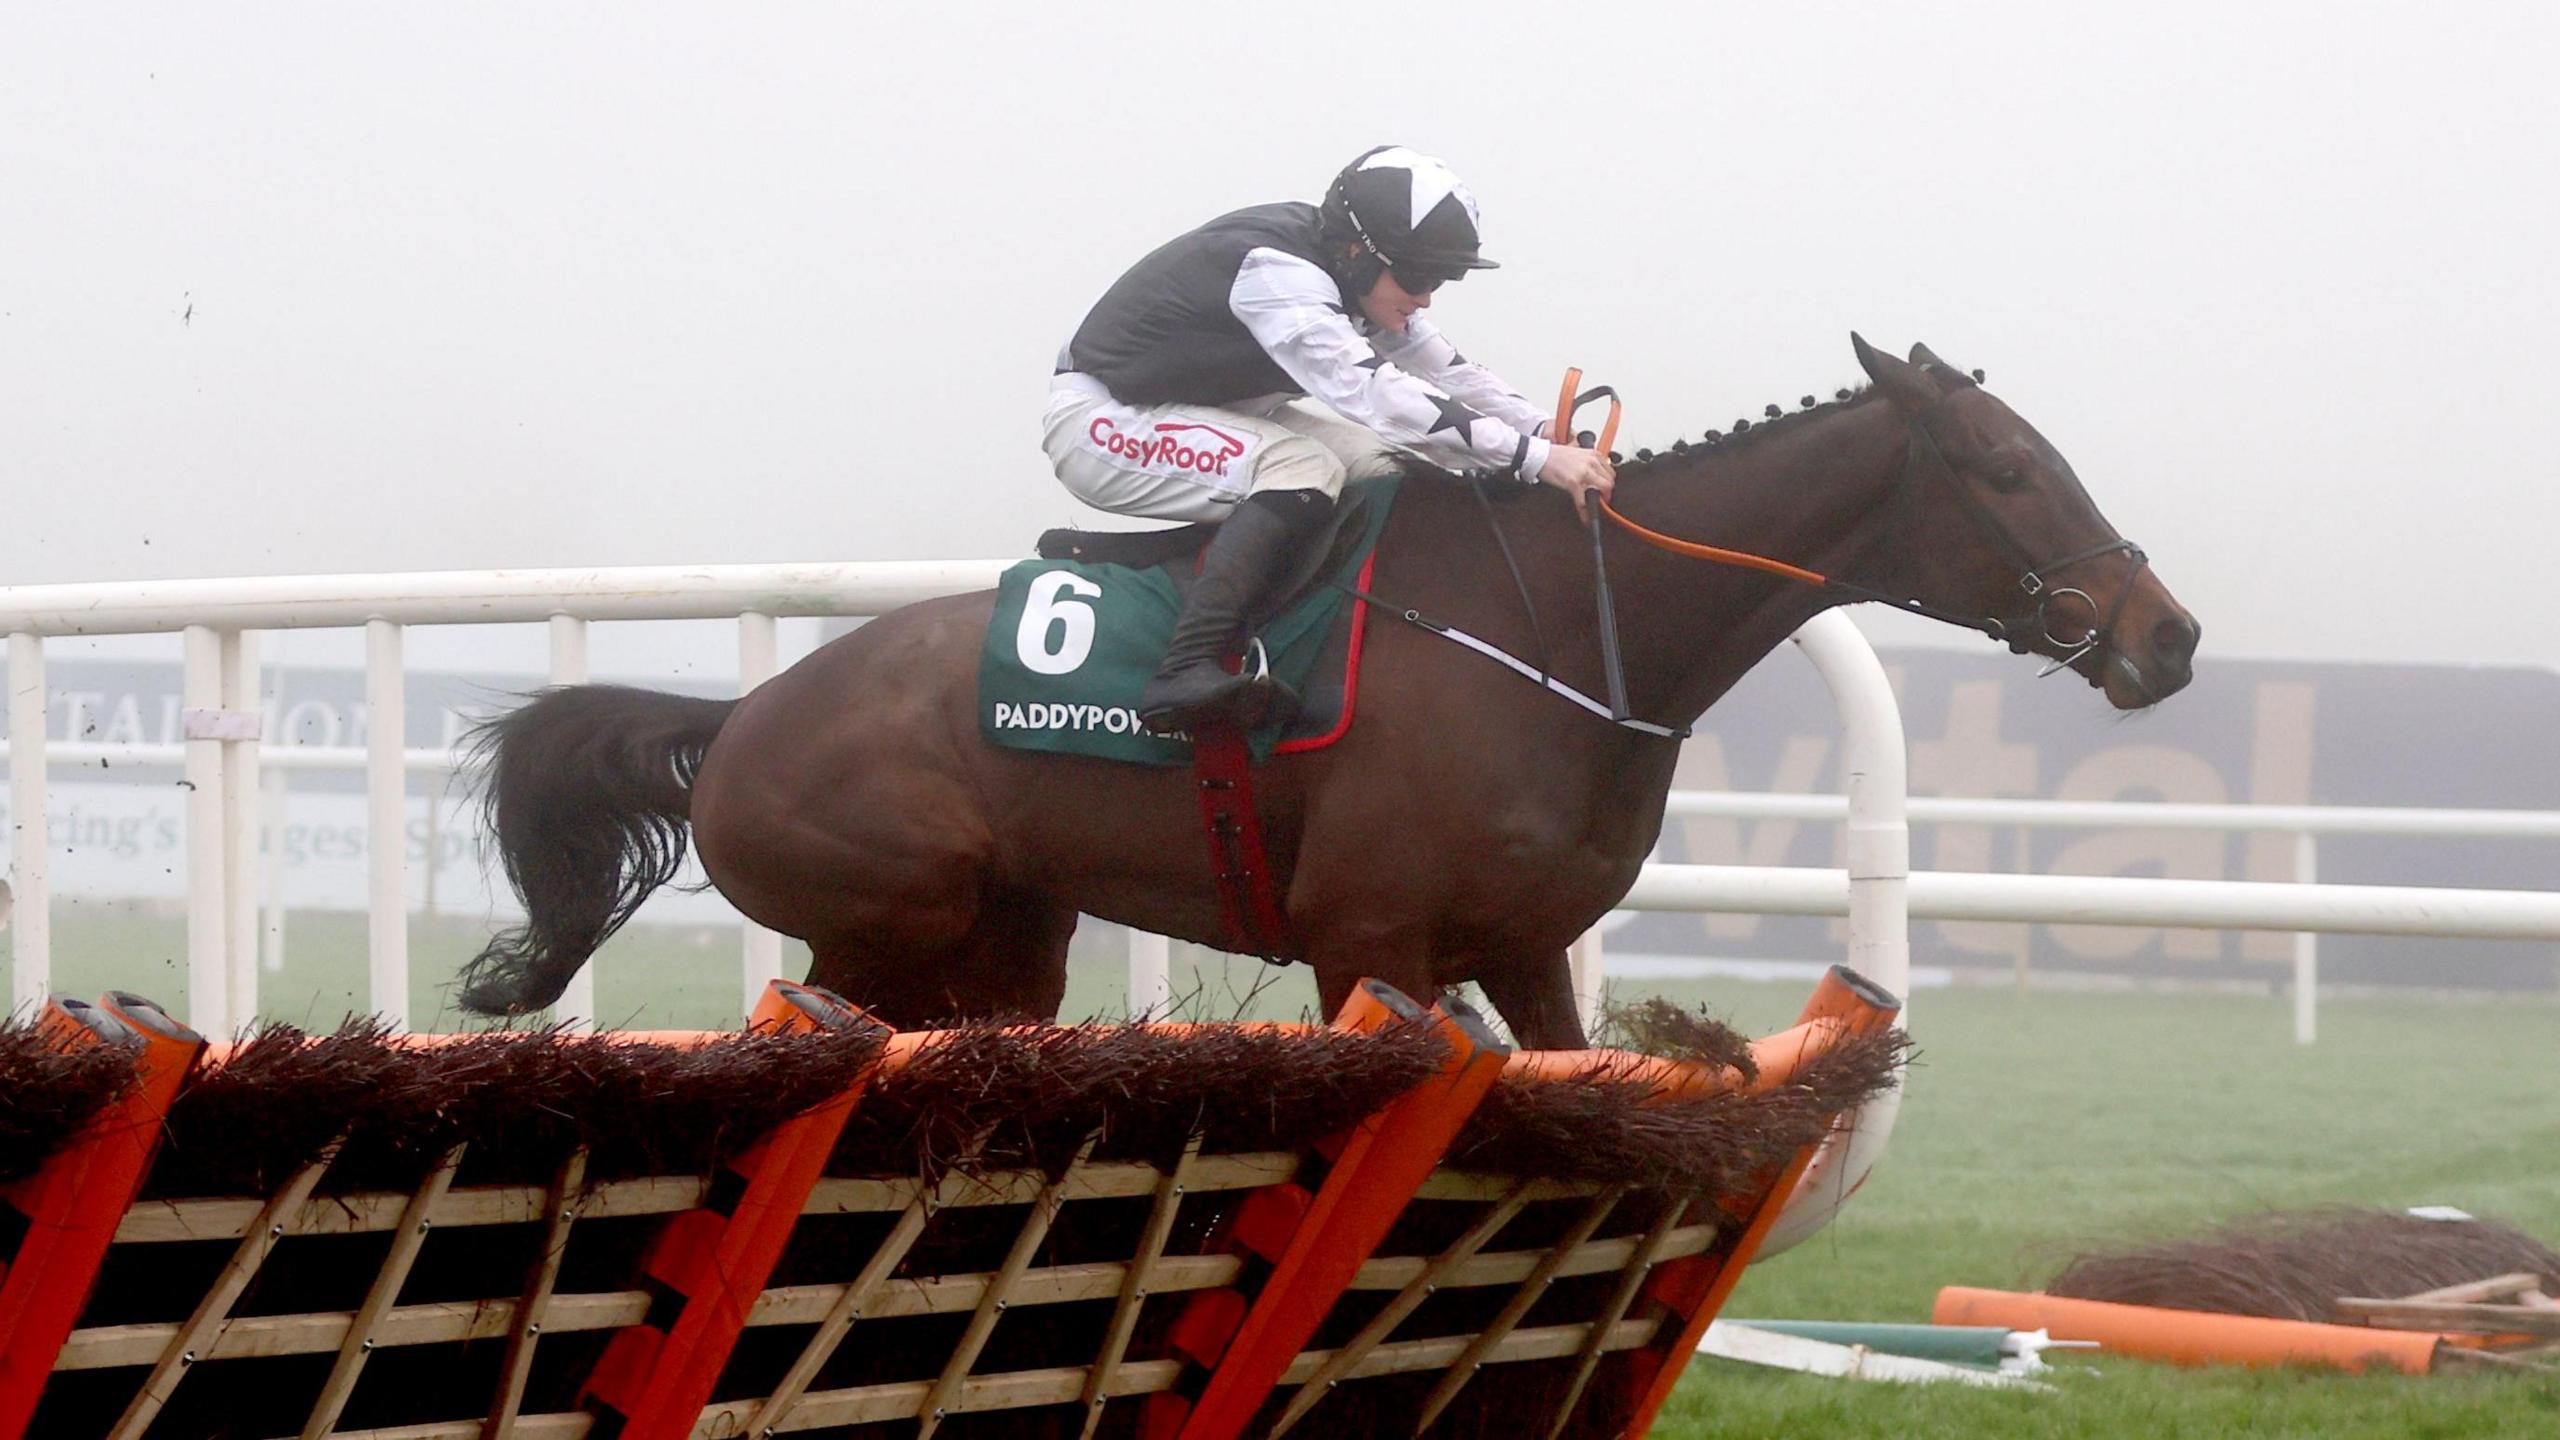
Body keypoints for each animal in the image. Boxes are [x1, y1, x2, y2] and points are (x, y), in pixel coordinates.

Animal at [455, 335, 2201, 1040]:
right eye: (2006, 472)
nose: (2168, 634)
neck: (1564, 637)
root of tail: (737, 717)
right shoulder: (1370, 944)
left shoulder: (1523, 945)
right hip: (882, 923)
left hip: (1008, 942)